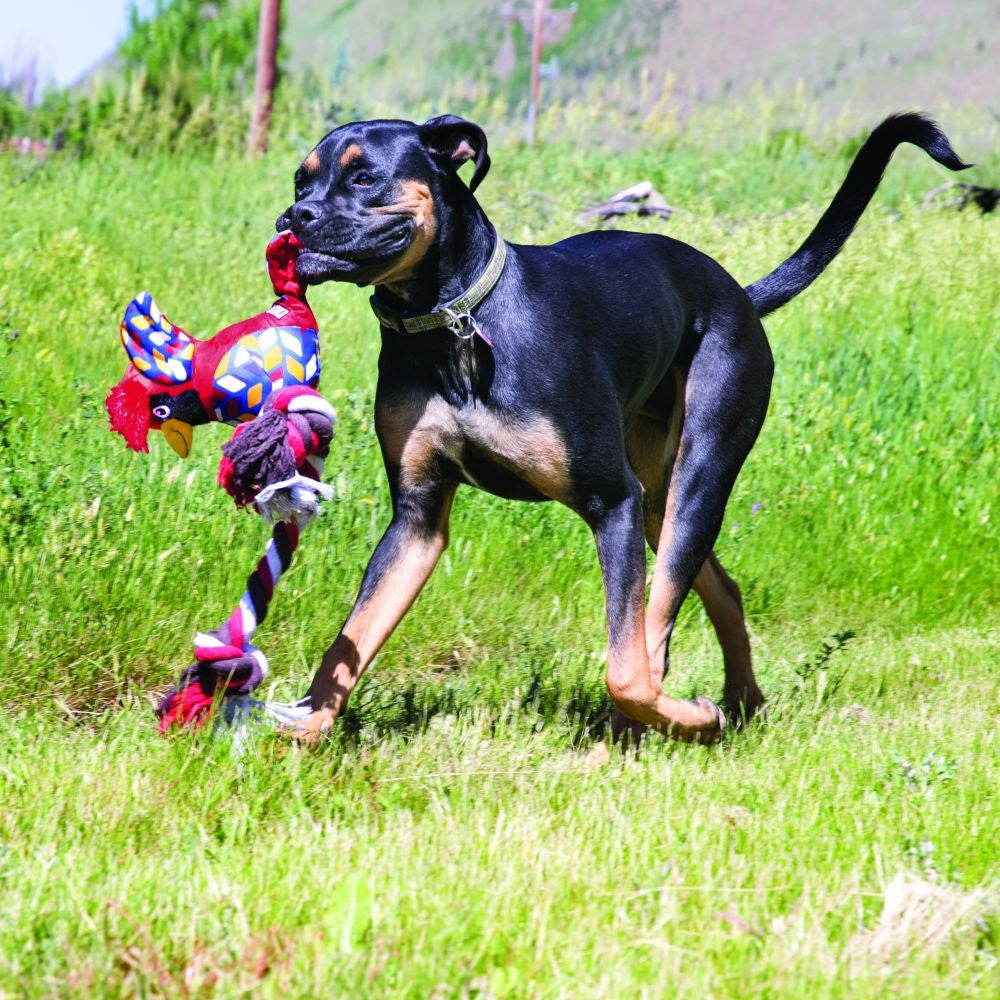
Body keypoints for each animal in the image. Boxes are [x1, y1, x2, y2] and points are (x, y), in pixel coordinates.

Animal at [276, 113, 968, 748]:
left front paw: (685, 717)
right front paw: (301, 736)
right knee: (721, 591)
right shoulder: (417, 520)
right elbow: (350, 642)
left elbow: (627, 667)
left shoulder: (611, 502)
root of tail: (739, 295)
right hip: (658, 502)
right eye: (301, 179)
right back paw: (738, 706)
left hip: (695, 478)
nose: (292, 216)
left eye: (365, 177)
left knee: (653, 631)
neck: (457, 324)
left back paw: (667, 725)